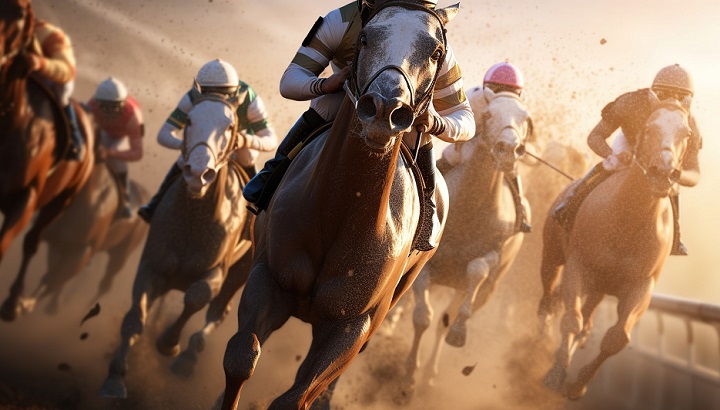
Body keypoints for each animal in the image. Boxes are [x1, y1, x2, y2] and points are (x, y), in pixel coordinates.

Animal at [99, 94, 254, 398]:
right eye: (190, 120)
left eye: (230, 127)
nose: (198, 173)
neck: (193, 218)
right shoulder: (152, 265)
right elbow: (135, 318)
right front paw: (115, 377)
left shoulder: (216, 271)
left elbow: (197, 296)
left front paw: (169, 343)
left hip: (242, 270)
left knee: (218, 312)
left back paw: (188, 358)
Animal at [402, 85, 533, 394]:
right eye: (490, 114)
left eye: (525, 119)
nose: (508, 148)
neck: (470, 210)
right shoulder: (425, 263)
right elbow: (421, 317)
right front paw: (409, 375)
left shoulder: (494, 251)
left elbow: (478, 269)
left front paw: (459, 332)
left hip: (482, 289)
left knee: (449, 317)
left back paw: (431, 371)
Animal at [538, 95, 692, 399]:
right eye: (649, 127)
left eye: (687, 134)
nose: (663, 173)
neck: (628, 222)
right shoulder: (578, 265)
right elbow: (570, 319)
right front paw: (555, 374)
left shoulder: (642, 285)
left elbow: (617, 337)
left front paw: (578, 383)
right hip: (552, 253)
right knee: (549, 293)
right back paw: (543, 329)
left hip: (600, 286)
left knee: (587, 318)